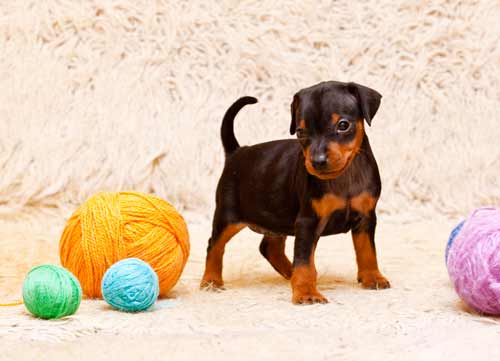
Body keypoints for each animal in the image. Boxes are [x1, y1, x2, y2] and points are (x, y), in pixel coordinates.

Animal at [201, 80, 388, 302]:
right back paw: (211, 281)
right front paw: (306, 292)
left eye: (343, 125)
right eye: (300, 132)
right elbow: (304, 260)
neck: (345, 176)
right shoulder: (307, 221)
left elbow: (367, 251)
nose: (317, 161)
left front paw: (373, 278)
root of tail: (237, 152)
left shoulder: (366, 218)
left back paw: (290, 273)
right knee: (214, 244)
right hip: (228, 216)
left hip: (276, 218)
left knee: (268, 248)